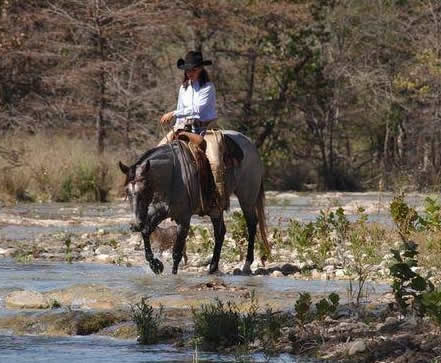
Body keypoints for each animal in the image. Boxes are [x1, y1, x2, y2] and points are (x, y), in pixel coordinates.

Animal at [118, 131, 268, 276]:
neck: (172, 176)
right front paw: (156, 265)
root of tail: (251, 145)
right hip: (216, 209)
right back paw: (213, 268)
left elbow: (177, 252)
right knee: (220, 232)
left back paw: (246, 265)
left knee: (251, 225)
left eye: (144, 189)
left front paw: (173, 275)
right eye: (127, 191)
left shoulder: (183, 219)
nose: (135, 224)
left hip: (247, 200)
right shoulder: (158, 211)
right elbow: (146, 232)